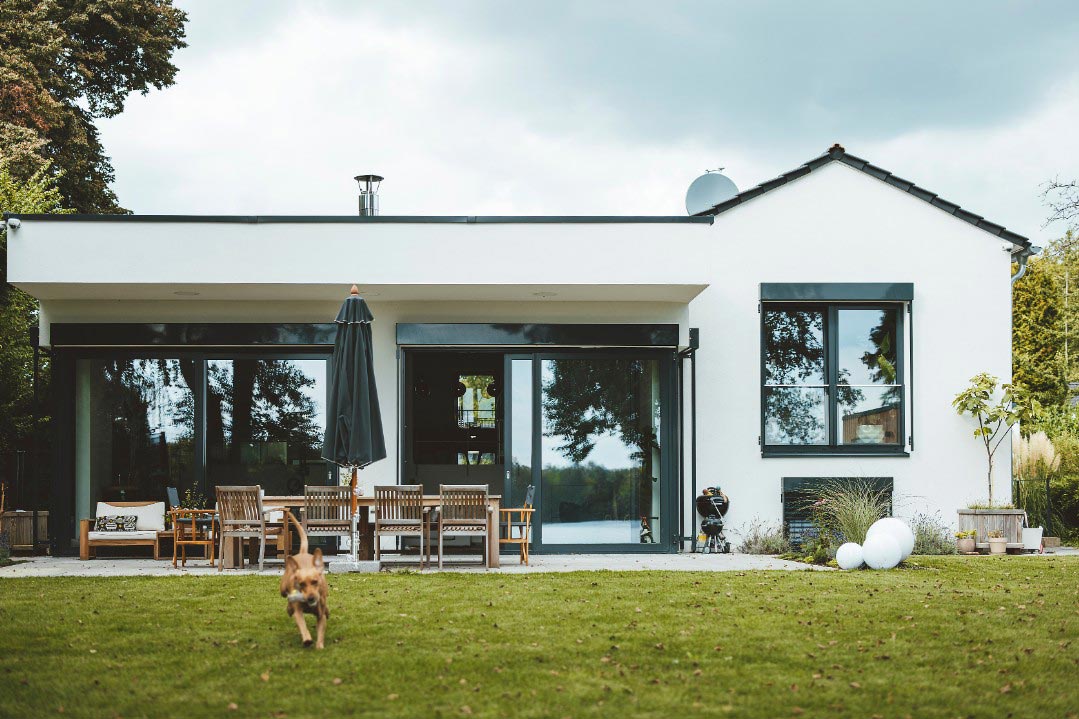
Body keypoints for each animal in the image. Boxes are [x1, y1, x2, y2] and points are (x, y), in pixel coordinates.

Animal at [278, 511, 328, 647]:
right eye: (301, 584)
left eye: (315, 582)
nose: (311, 598)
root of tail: (303, 552)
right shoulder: (298, 612)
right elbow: (302, 625)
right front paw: (307, 639)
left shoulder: (320, 616)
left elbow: (321, 631)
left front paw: (319, 646)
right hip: (283, 589)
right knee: (287, 601)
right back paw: (289, 608)